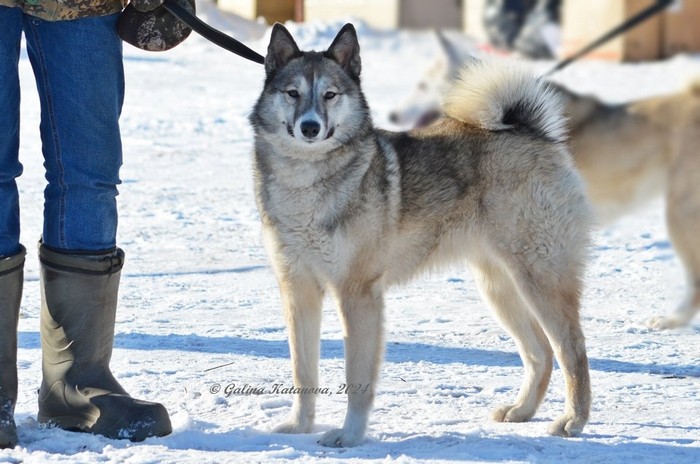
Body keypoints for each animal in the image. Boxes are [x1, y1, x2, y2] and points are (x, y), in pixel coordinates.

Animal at [250, 23, 592, 447]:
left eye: (330, 94)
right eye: (292, 92)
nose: (310, 127)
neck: (306, 181)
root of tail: (530, 131)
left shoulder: (358, 294)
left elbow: (356, 377)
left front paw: (350, 435)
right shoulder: (298, 290)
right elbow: (303, 370)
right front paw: (299, 426)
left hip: (540, 278)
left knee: (571, 350)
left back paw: (573, 420)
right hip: (500, 287)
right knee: (540, 352)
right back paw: (521, 411)